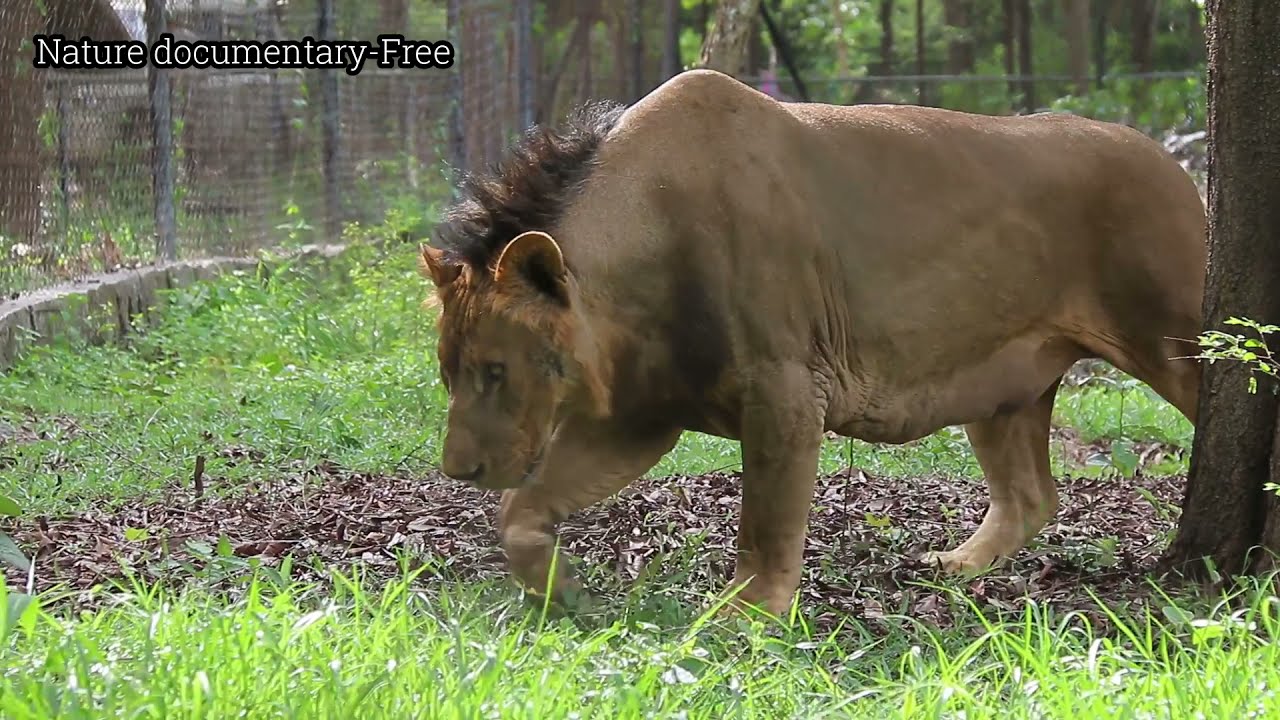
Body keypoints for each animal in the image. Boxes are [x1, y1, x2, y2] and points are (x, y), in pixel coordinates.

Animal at [418, 69, 1206, 618]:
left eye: (496, 371)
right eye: (450, 375)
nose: (457, 471)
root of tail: (1169, 159)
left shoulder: (787, 394)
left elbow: (766, 529)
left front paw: (740, 622)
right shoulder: (639, 418)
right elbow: (519, 512)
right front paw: (562, 593)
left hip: (1176, 339)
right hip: (1003, 384)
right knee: (1031, 498)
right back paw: (950, 568)